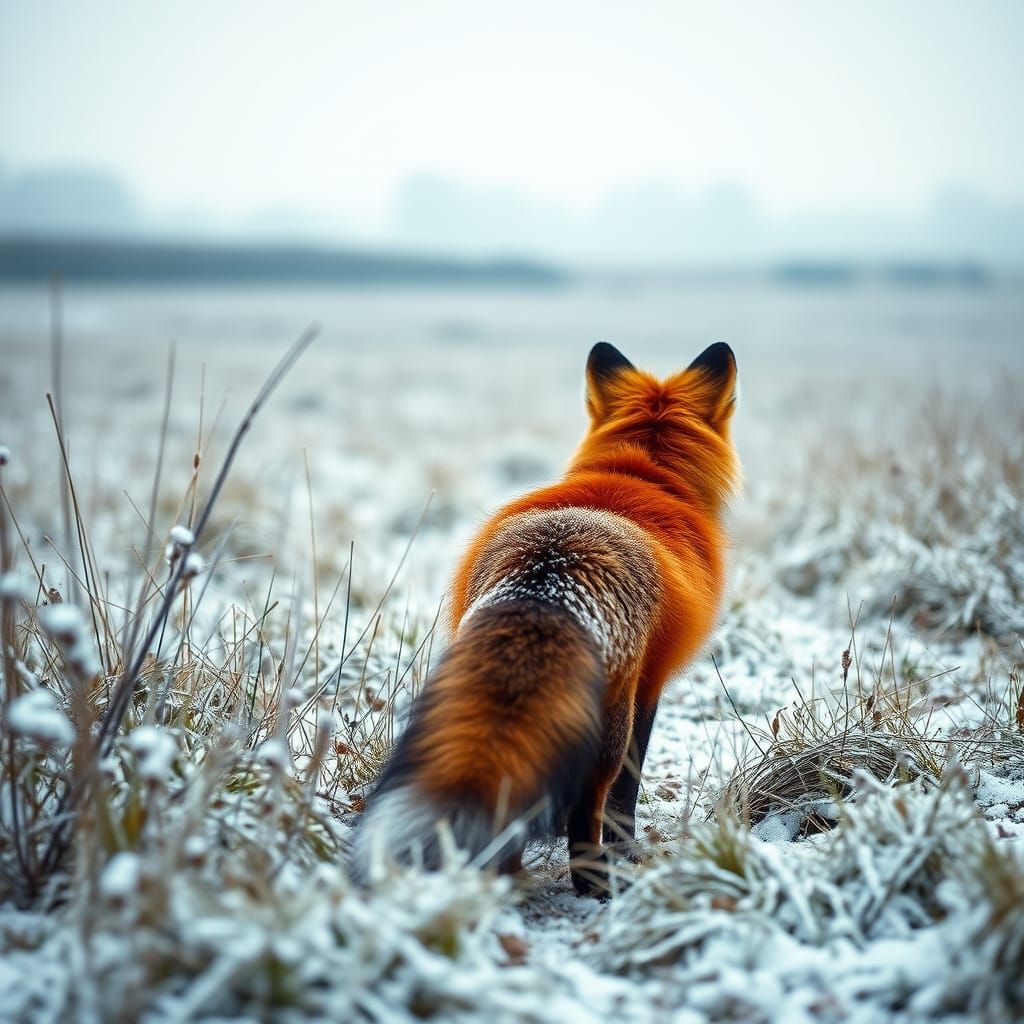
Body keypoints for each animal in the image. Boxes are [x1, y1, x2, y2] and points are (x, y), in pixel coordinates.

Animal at [352, 340, 740, 896]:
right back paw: (598, 892)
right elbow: (628, 796)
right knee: (585, 819)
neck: (640, 474)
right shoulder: (650, 686)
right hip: (605, 737)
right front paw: (628, 852)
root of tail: (548, 575)